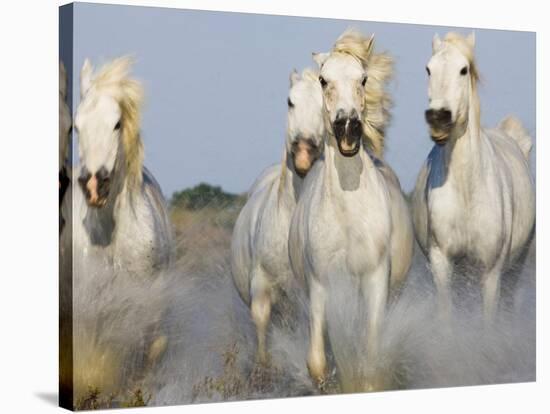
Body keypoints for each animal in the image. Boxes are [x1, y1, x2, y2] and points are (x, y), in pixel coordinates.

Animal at [231, 68, 326, 362]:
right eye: (290, 102)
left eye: (325, 106)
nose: (304, 153)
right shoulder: (262, 285)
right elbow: (261, 321)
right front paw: (264, 368)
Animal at [288, 29, 414, 392]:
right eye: (323, 79)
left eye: (364, 78)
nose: (348, 129)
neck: (348, 218)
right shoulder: (321, 284)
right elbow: (319, 363)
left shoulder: (375, 281)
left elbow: (370, 361)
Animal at [414, 33, 536, 324]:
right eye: (428, 69)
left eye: (463, 69)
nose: (438, 118)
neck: (467, 192)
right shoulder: (442, 263)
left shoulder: (490, 272)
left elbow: (488, 323)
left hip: (515, 268)